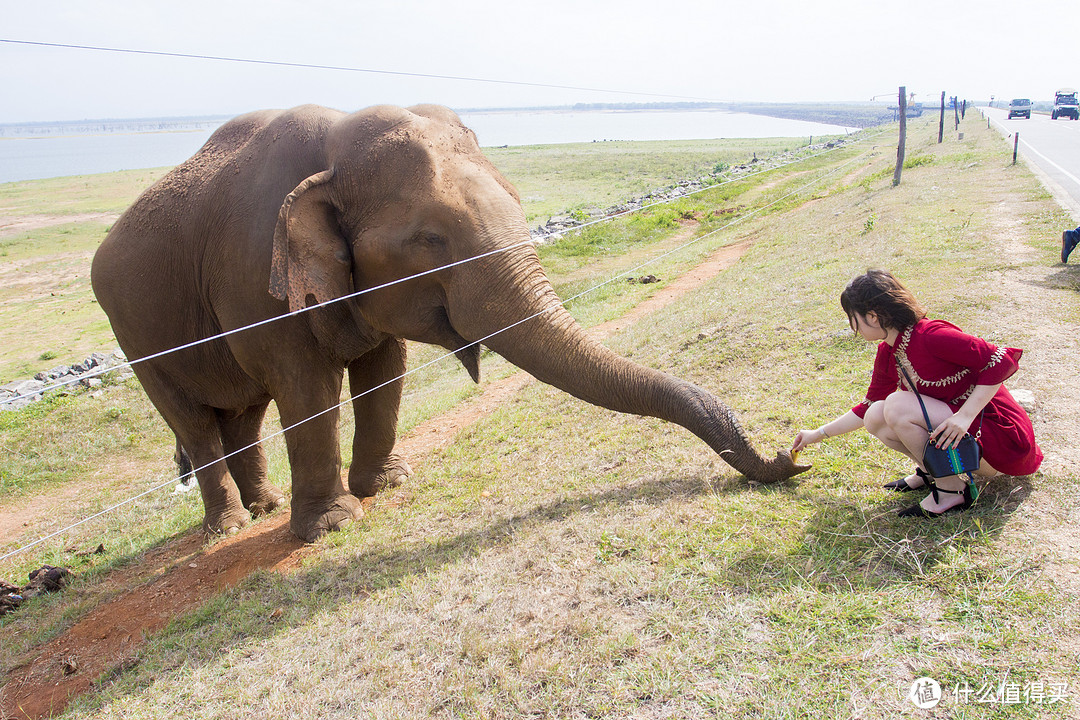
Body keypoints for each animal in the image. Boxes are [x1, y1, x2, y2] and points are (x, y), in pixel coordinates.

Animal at [88, 101, 807, 539]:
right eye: (432, 240)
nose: (788, 452)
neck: (334, 139)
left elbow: (385, 371)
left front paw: (387, 485)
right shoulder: (252, 278)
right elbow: (305, 386)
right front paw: (334, 527)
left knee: (242, 414)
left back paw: (261, 509)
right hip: (134, 338)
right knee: (195, 421)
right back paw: (233, 527)